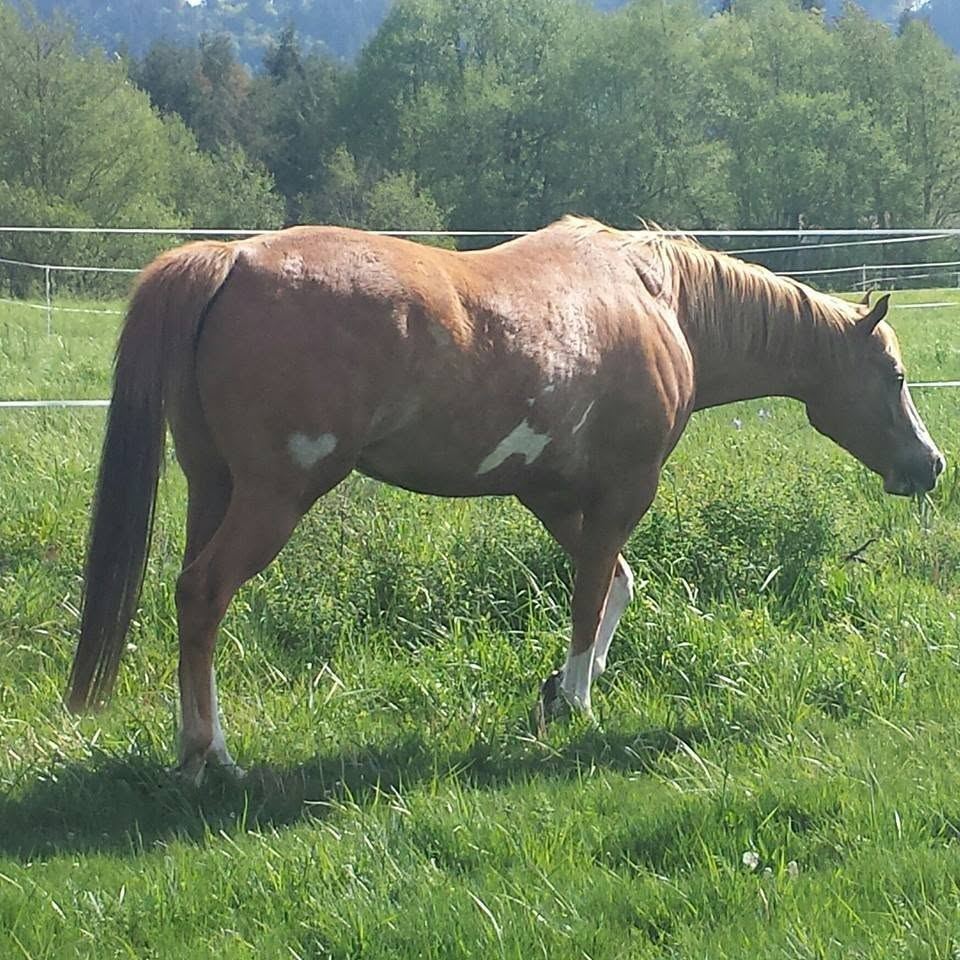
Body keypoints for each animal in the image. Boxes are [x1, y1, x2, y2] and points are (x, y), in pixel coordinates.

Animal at [66, 216, 944, 783]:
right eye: (895, 376)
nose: (930, 465)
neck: (657, 300)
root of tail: (233, 260)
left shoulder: (547, 493)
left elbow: (615, 583)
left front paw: (559, 689)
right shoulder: (624, 489)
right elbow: (592, 594)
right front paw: (577, 702)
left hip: (212, 488)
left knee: (191, 600)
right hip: (274, 498)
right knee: (203, 593)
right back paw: (209, 753)